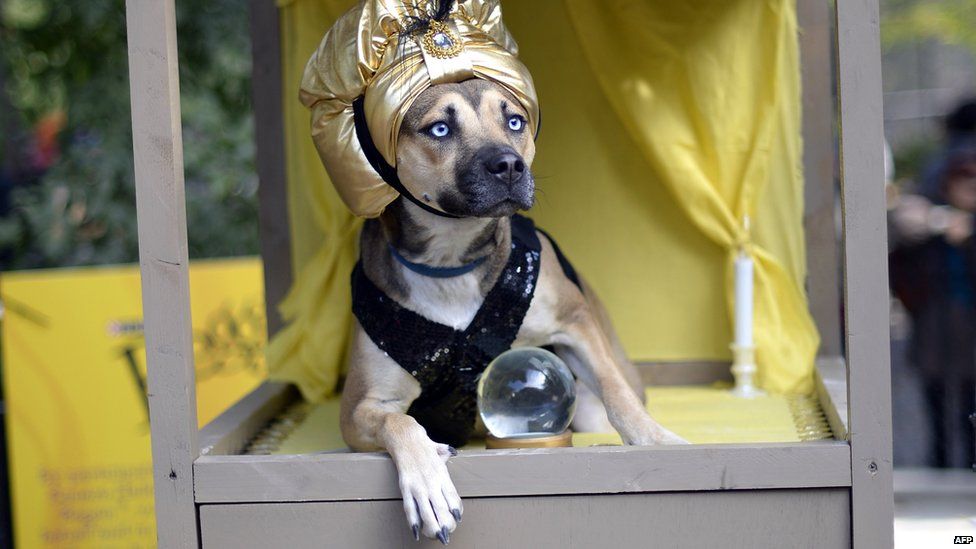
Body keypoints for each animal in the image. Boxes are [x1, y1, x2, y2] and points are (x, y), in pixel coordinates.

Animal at [340, 78, 692, 544]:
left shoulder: (575, 321)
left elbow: (618, 393)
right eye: (439, 129)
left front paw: (657, 441)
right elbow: (399, 423)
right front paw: (429, 484)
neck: (452, 259)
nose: (508, 165)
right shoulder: (360, 407)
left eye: (514, 122)